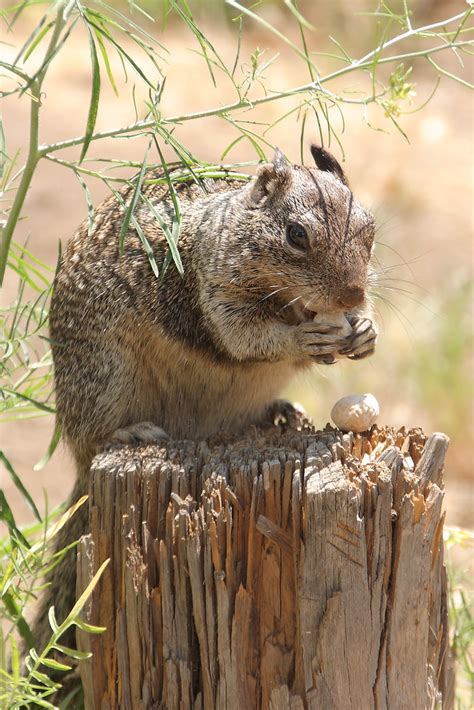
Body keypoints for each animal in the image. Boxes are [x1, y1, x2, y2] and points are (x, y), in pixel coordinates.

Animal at [30, 146, 378, 660]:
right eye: (296, 235)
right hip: (103, 379)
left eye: (370, 230)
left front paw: (366, 330)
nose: (352, 294)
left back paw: (282, 412)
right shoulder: (213, 295)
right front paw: (303, 336)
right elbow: (245, 336)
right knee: (92, 436)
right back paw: (130, 431)